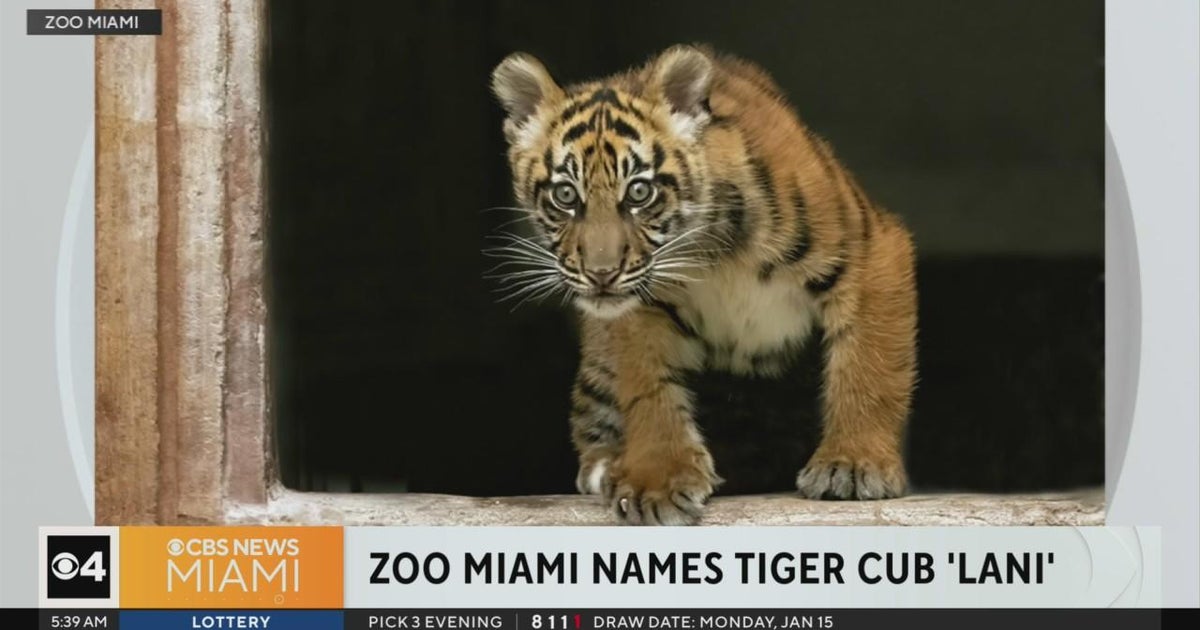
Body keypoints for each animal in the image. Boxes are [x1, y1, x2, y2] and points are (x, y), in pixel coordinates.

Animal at [490, 45, 917, 525]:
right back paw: (607, 467)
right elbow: (649, 391)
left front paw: (854, 465)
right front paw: (657, 482)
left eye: (639, 193)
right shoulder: (639, 309)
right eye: (565, 196)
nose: (602, 274)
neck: (709, 253)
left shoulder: (872, 254)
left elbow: (867, 370)